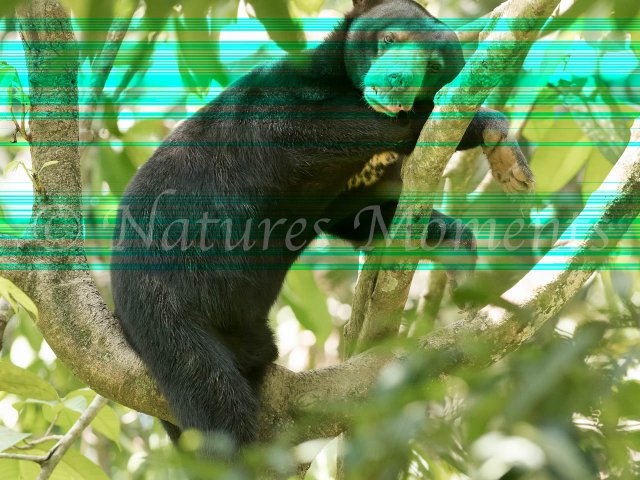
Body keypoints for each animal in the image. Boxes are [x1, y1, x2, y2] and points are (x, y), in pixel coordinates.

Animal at [110, 0, 534, 453]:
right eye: (390, 38)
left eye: (434, 65)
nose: (397, 80)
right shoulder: (279, 112)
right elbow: (350, 130)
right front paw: (482, 126)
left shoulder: (339, 189)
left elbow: (360, 214)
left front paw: (466, 240)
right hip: (170, 308)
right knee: (213, 404)